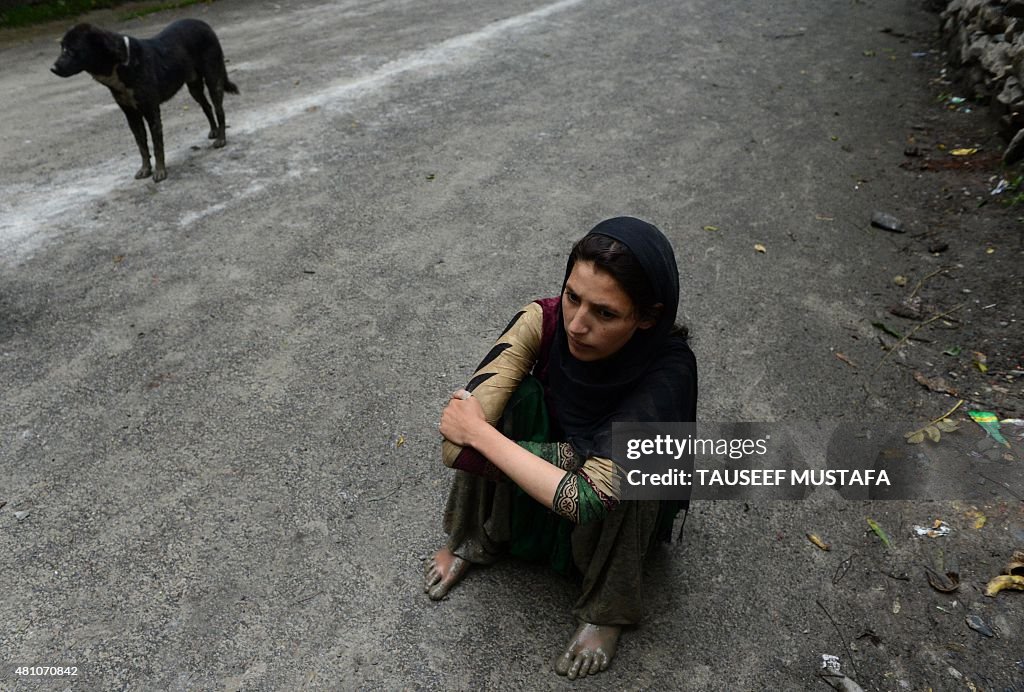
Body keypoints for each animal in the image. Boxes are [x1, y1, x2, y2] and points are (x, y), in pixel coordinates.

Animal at [55, 19, 240, 181]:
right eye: (62, 47)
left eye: (71, 50)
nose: (53, 68)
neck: (121, 64)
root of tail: (204, 24)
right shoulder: (131, 115)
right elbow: (142, 145)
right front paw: (145, 169)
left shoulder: (151, 111)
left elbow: (157, 145)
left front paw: (160, 172)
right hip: (194, 87)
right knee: (206, 106)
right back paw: (214, 131)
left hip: (213, 79)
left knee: (219, 109)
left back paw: (221, 139)